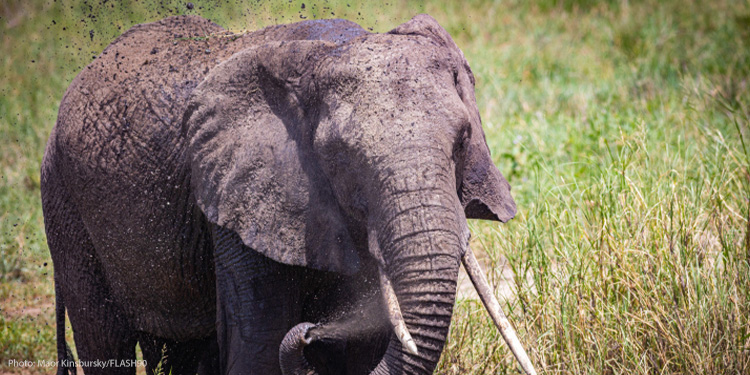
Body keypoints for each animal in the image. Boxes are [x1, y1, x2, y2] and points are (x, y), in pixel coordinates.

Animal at [41, 12, 536, 375]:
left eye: (462, 140)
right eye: (340, 155)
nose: (315, 330)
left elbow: (363, 346)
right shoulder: (235, 202)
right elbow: (260, 344)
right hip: (65, 205)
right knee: (105, 339)